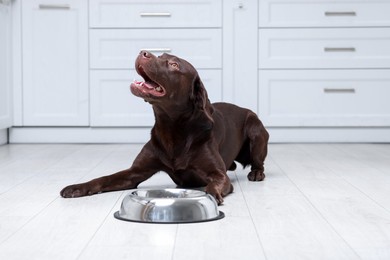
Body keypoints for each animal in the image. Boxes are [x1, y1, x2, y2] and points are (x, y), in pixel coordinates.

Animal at [60, 51, 268, 205]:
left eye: (174, 65)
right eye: (161, 56)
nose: (143, 52)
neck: (171, 127)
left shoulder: (218, 175)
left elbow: (212, 185)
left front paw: (209, 196)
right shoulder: (134, 172)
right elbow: (104, 178)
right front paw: (77, 187)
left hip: (256, 130)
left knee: (259, 162)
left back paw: (256, 172)